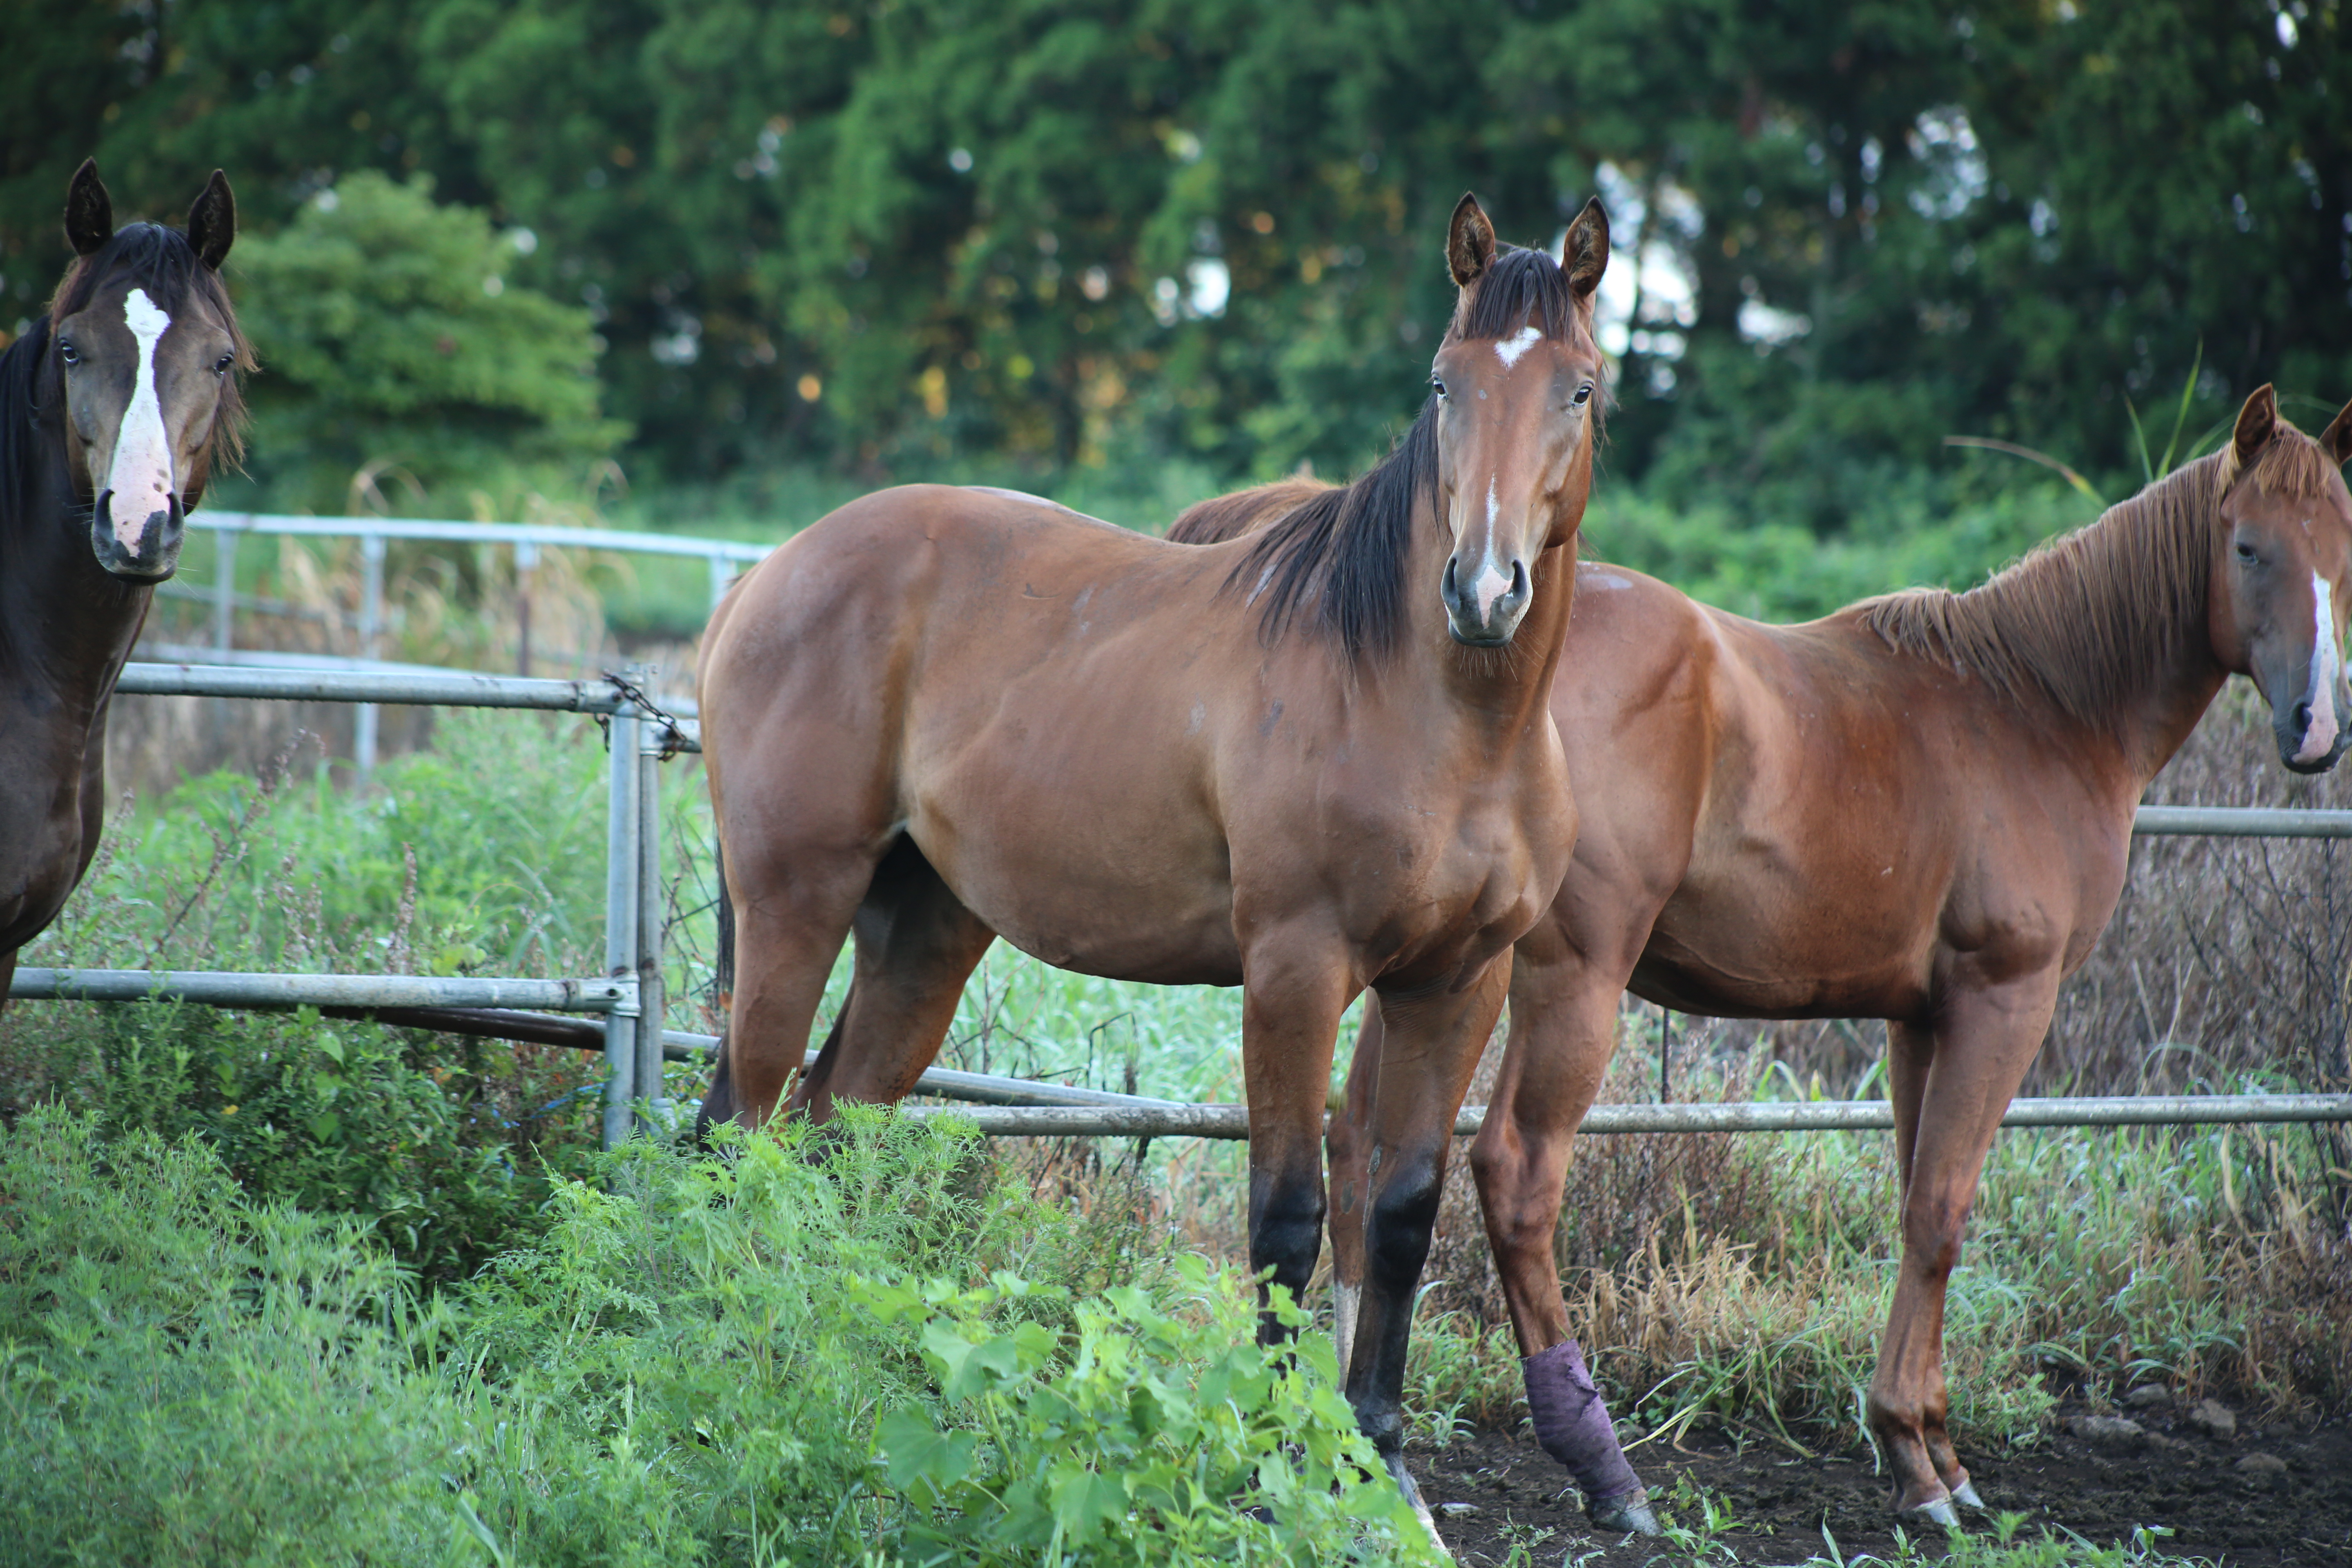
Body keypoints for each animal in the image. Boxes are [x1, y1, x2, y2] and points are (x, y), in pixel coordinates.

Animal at [691, 193, 1618, 1532]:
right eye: (1444, 384)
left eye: (1578, 389)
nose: (1483, 590)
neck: (1441, 717)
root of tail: (769, 574)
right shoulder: (1293, 971)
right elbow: (1286, 1222)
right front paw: (1277, 1463)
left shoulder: (1459, 982)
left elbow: (1396, 1216)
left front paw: (1382, 1460)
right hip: (794, 906)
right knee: (739, 1124)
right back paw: (727, 1348)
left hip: (922, 936)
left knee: (831, 1122)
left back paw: (839, 1348)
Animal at [1176, 390, 2352, 1532]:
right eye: (2248, 547)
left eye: (2342, 548)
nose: (2314, 729)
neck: (2037, 710)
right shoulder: (2004, 999)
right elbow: (1943, 1213)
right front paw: (1923, 1470)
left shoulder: (1920, 1017)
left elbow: (1914, 1200)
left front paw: (1924, 1444)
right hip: (1562, 982)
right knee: (1513, 1172)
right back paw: (1604, 1473)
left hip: (1429, 972)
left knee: (1358, 1151)